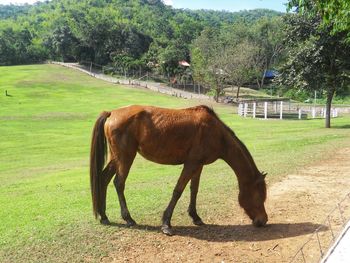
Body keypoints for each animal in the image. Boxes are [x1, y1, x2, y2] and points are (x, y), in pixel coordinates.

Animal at [90, 105, 268, 237]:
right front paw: (166, 224)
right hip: (126, 157)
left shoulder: (199, 165)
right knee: (119, 183)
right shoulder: (191, 164)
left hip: (116, 158)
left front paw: (195, 217)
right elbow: (178, 191)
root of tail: (112, 113)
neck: (216, 133)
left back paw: (104, 216)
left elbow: (194, 190)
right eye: (259, 196)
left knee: (104, 179)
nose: (263, 220)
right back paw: (128, 218)